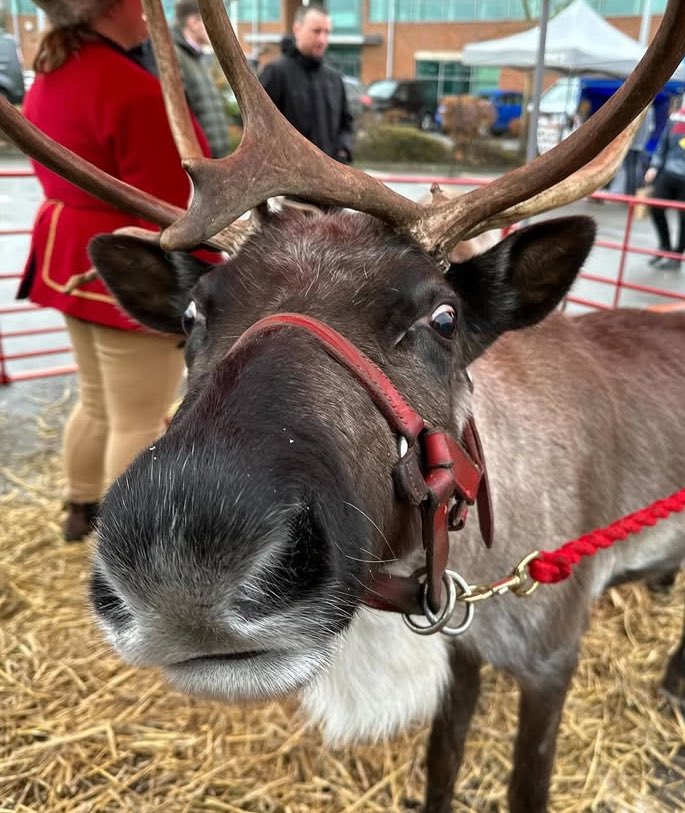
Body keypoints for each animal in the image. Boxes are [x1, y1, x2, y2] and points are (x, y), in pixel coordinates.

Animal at [3, 2, 685, 811]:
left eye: (444, 316)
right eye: (193, 315)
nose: (179, 557)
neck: (486, 557)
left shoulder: (552, 655)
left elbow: (526, 784)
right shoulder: (464, 650)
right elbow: (441, 760)